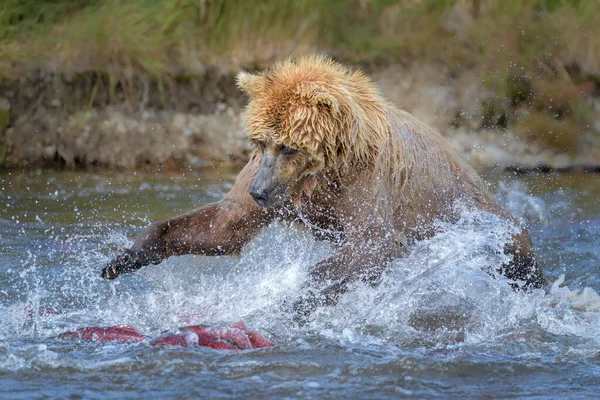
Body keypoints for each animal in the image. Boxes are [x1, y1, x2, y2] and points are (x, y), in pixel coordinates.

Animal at [101, 54, 548, 322]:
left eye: (289, 146)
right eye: (259, 142)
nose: (259, 192)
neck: (320, 176)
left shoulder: (366, 182)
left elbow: (373, 243)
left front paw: (294, 299)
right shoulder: (276, 186)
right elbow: (223, 226)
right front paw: (124, 257)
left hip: (492, 229)